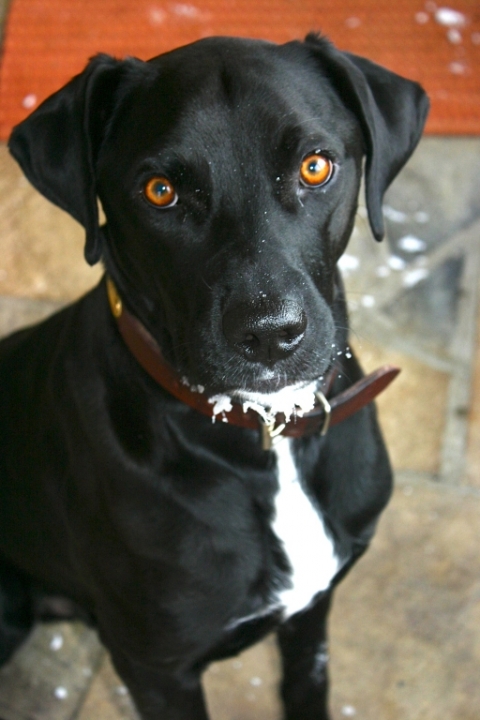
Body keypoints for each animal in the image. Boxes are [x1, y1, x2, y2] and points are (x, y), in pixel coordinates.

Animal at [0, 33, 428, 720]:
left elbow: (307, 684)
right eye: (159, 191)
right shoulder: (156, 668)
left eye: (315, 167)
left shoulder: (313, 610)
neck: (267, 440)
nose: (270, 334)